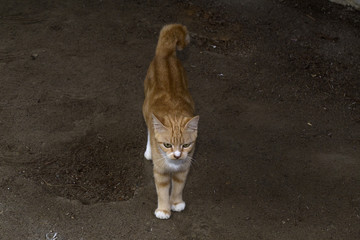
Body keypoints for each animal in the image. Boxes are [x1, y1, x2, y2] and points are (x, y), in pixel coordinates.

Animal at [143, 23, 200, 219]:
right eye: (167, 145)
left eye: (186, 145)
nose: (177, 155)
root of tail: (166, 54)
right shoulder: (160, 172)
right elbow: (162, 190)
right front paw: (163, 210)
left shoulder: (184, 169)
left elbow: (178, 187)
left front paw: (176, 203)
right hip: (145, 109)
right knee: (148, 128)